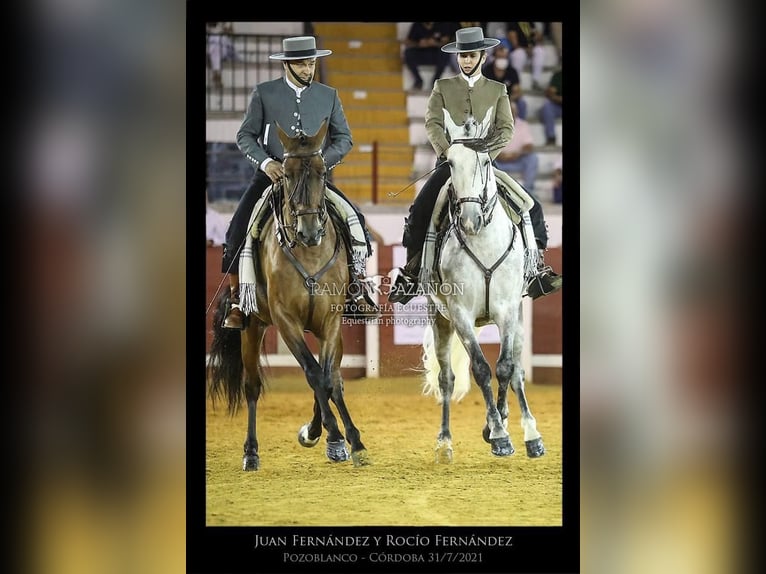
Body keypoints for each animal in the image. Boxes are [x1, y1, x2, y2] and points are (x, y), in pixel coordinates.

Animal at [206, 118, 370, 472]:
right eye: (288, 173)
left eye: (322, 172)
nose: (309, 232)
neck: (309, 253)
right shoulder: (286, 321)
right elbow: (313, 373)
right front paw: (331, 436)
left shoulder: (331, 321)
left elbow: (328, 379)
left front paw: (348, 441)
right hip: (252, 327)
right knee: (252, 387)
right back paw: (251, 453)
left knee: (333, 378)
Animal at [420, 110, 544, 466]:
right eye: (449, 162)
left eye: (487, 161)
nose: (470, 219)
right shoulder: (461, 314)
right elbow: (480, 369)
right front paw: (499, 435)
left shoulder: (506, 311)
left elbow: (504, 368)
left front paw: (499, 427)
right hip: (441, 320)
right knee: (446, 379)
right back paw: (444, 443)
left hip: (518, 319)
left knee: (517, 371)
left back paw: (530, 434)